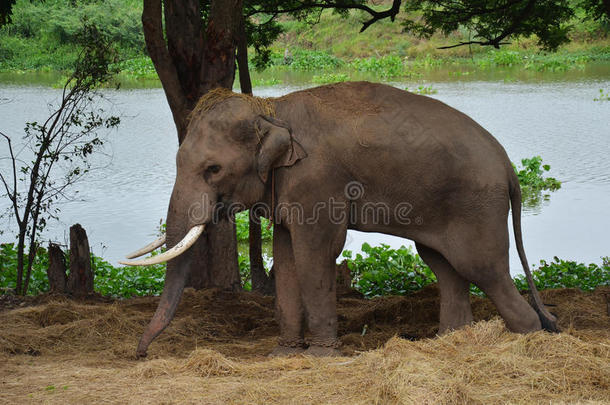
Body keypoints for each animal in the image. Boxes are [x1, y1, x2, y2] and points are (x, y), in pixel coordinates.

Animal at [122, 79, 556, 356]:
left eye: (213, 169)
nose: (141, 354)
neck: (272, 108)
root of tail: (509, 165)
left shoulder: (317, 183)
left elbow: (316, 253)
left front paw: (319, 356)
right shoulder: (287, 189)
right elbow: (287, 255)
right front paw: (284, 355)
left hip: (477, 206)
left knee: (483, 268)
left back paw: (528, 338)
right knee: (444, 265)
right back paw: (451, 342)